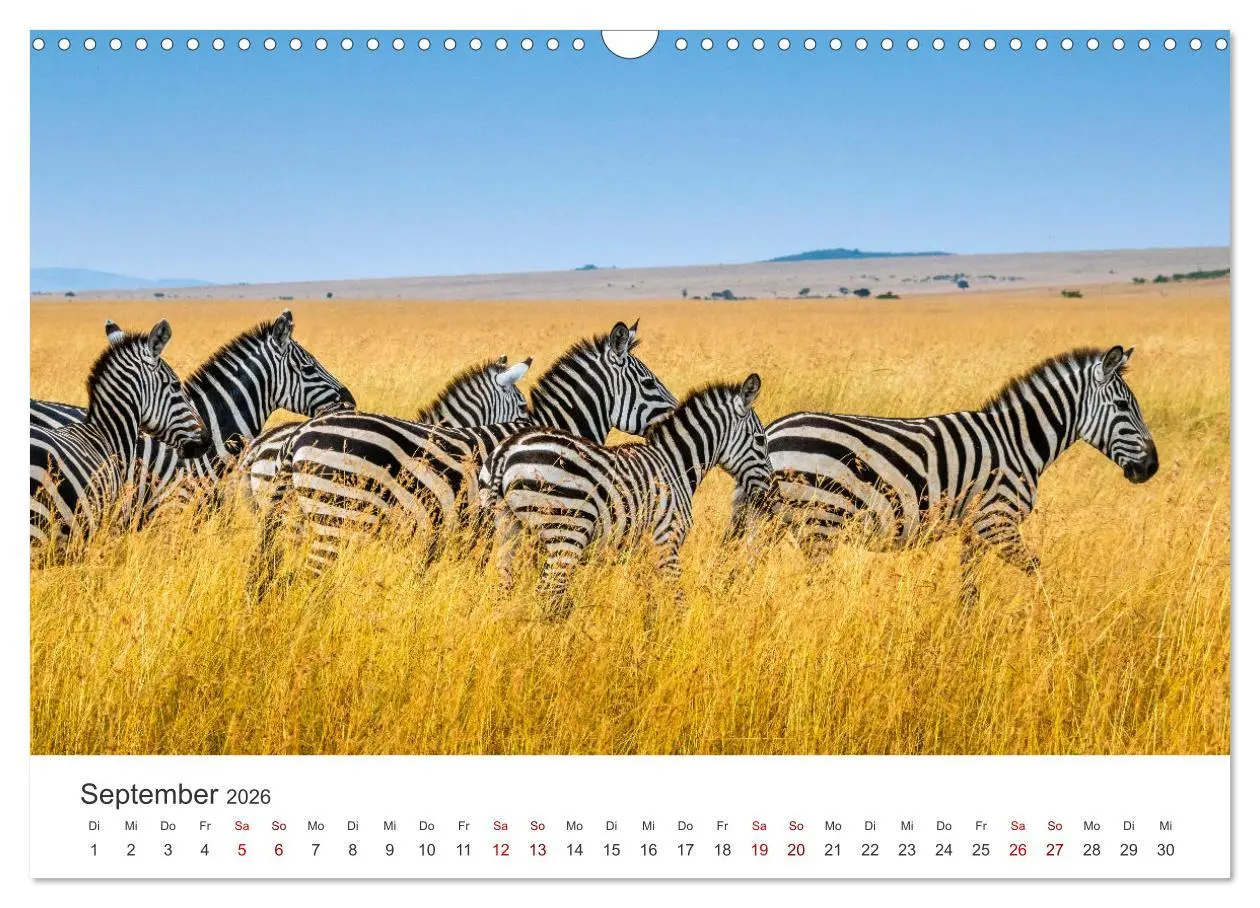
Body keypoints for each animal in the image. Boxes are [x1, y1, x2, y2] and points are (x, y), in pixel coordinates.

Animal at [481, 374, 770, 621]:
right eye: (760, 439)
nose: (769, 492)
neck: (675, 464)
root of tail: (506, 451)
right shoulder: (667, 540)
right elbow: (677, 599)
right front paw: (678, 634)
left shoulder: (643, 550)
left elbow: (649, 599)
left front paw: (647, 634)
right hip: (567, 533)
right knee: (547, 593)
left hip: (508, 528)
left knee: (504, 590)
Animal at [746, 345, 1159, 606]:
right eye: (1123, 406)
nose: (1151, 467)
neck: (1017, 441)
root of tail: (773, 431)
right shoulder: (997, 521)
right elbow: (1038, 572)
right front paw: (1054, 623)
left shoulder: (974, 528)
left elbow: (969, 588)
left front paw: (965, 634)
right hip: (820, 522)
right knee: (813, 584)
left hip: (772, 523)